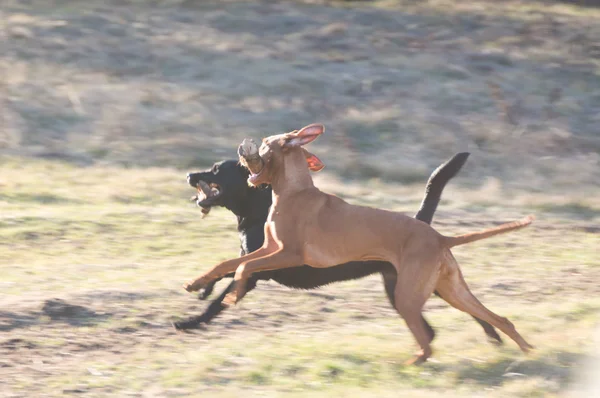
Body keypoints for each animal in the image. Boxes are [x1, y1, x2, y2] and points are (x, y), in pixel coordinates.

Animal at [184, 123, 536, 364]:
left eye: (217, 170)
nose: (190, 175)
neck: (295, 193)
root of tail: (437, 235)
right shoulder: (270, 250)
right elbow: (229, 263)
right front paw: (197, 283)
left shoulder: (288, 254)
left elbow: (241, 270)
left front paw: (213, 306)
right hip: (448, 289)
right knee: (495, 319)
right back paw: (524, 348)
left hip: (410, 295)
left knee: (428, 338)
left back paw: (414, 363)